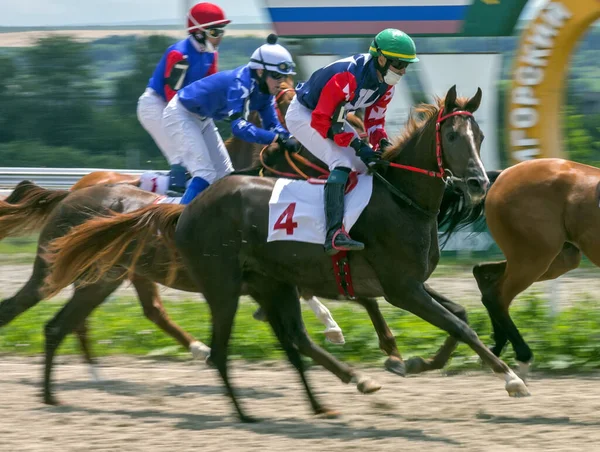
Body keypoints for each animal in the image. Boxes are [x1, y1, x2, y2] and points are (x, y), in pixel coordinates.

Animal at [43, 86, 528, 422]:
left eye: (480, 134)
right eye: (453, 135)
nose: (478, 184)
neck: (400, 199)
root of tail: (183, 212)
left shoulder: (409, 285)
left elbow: (459, 316)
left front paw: (417, 361)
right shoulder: (400, 289)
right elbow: (456, 324)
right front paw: (511, 378)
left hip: (262, 282)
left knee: (287, 337)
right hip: (216, 285)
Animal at [472, 157, 600, 380]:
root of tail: (504, 174)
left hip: (556, 259)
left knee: (485, 277)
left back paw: (496, 349)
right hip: (534, 257)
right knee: (496, 296)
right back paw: (521, 357)